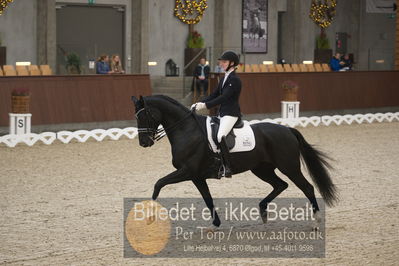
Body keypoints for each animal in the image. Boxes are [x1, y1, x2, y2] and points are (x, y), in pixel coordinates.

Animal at [132, 94, 338, 228]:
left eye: (144, 115)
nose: (144, 143)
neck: (186, 130)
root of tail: (288, 130)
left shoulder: (187, 171)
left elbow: (159, 183)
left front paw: (150, 214)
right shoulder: (197, 176)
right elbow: (207, 198)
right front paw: (215, 224)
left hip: (289, 167)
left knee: (307, 187)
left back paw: (316, 221)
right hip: (262, 169)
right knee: (280, 185)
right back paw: (263, 211)